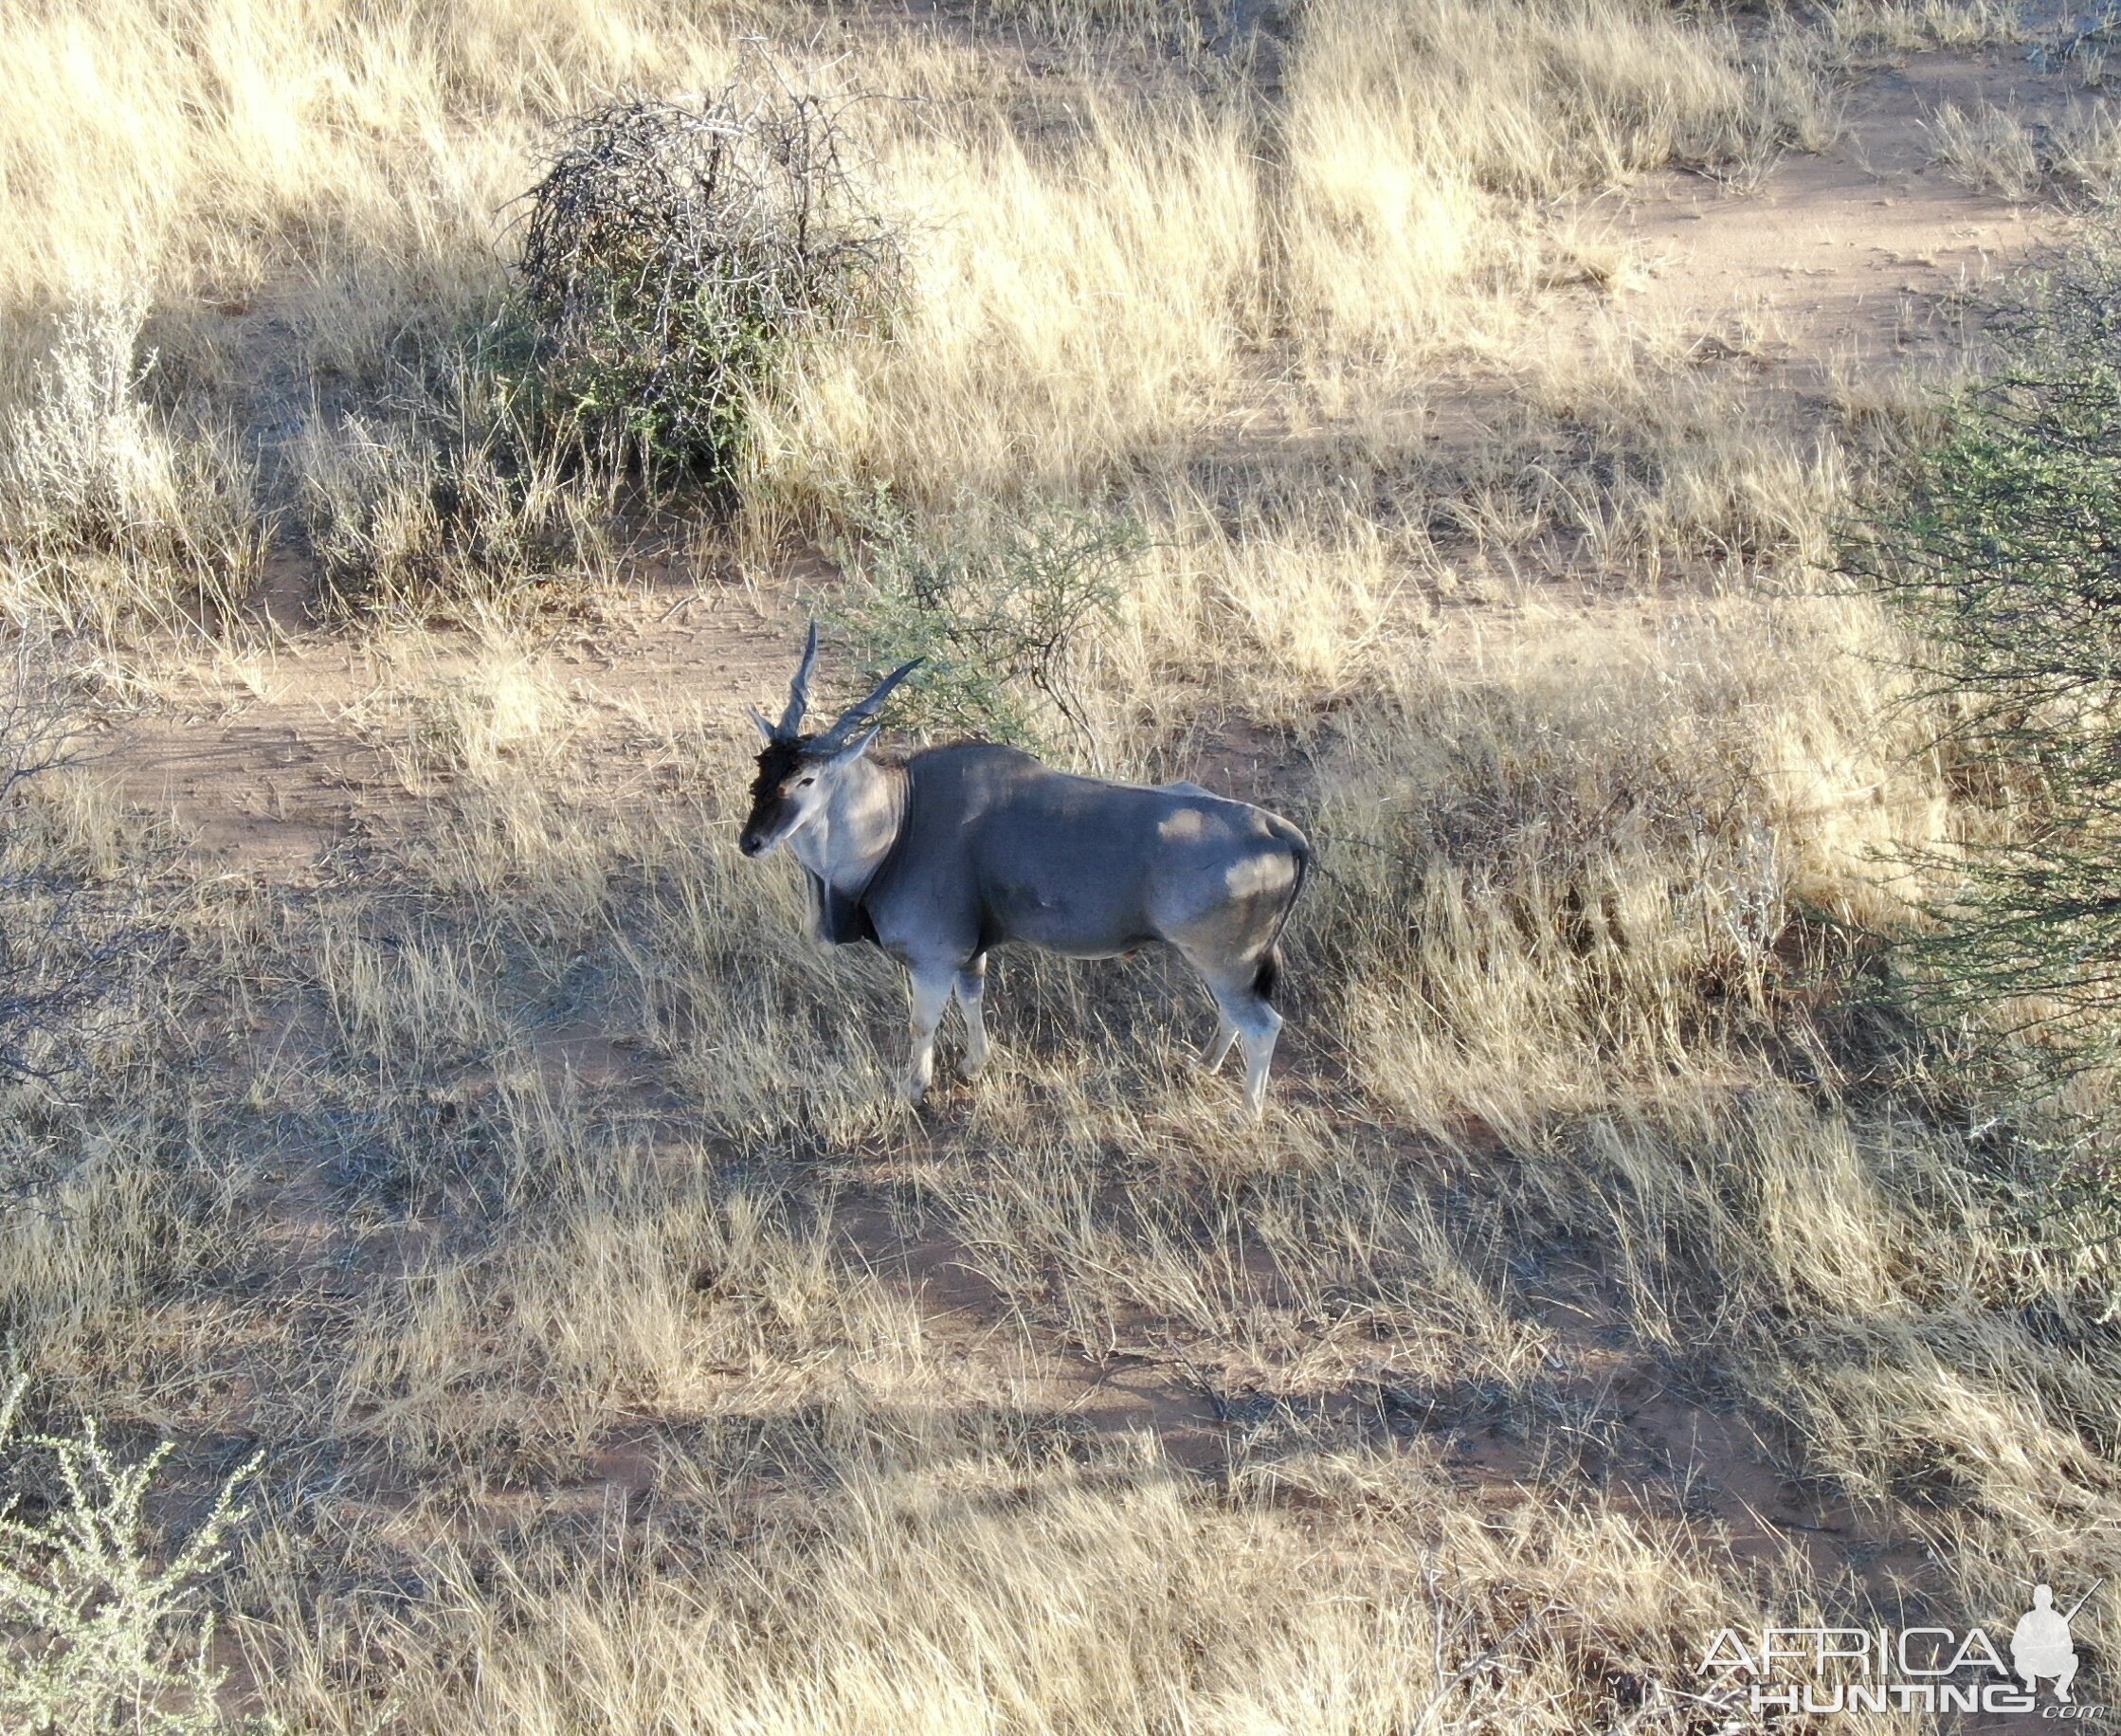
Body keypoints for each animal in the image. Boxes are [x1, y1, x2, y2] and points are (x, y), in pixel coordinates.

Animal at [742, 631, 1306, 1119]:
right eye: (762, 769)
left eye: (808, 778)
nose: (752, 842)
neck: (902, 816)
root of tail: (1278, 831)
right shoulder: (969, 954)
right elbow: (972, 999)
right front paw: (973, 1065)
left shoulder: (933, 958)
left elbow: (922, 1023)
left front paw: (913, 1089)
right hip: (1227, 965)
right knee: (1235, 1015)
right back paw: (1203, 1065)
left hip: (1224, 961)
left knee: (1262, 1025)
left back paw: (1247, 1114)